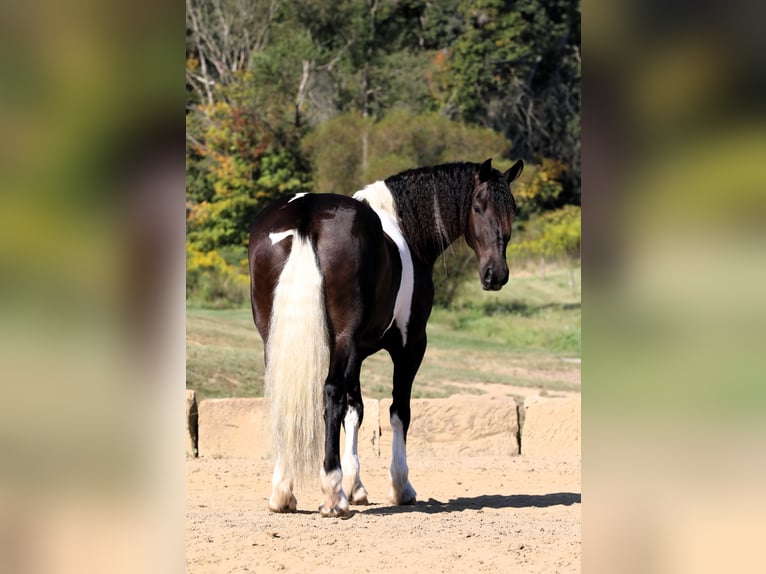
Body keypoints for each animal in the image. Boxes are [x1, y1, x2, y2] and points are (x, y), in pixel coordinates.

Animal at [249, 156, 524, 516]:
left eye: (513, 209)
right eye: (478, 207)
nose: (496, 275)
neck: (404, 228)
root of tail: (306, 214)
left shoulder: (357, 351)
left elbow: (355, 411)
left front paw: (356, 486)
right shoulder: (410, 345)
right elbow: (398, 412)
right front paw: (400, 486)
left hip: (274, 336)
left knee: (284, 394)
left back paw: (283, 492)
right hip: (344, 338)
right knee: (331, 394)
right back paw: (332, 495)